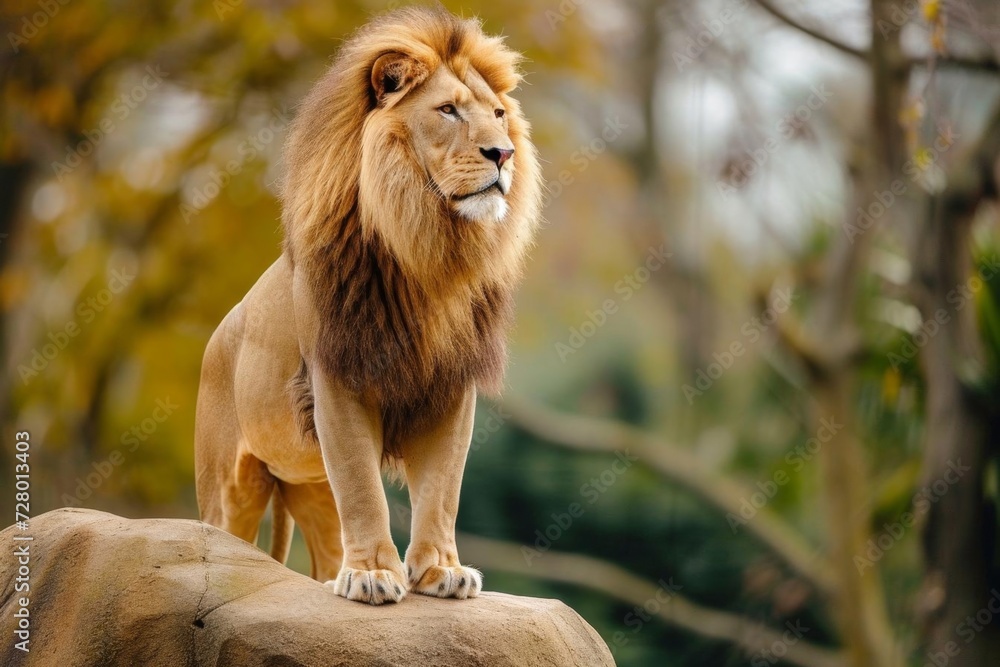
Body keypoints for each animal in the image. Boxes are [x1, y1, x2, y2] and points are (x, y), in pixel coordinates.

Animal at [194, 7, 541, 605]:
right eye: (448, 110)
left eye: (499, 114)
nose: (503, 153)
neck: (426, 252)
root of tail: (218, 337)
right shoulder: (339, 378)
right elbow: (362, 486)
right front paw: (375, 576)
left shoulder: (451, 387)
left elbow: (442, 489)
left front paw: (439, 571)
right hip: (230, 485)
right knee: (223, 537)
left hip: (310, 487)